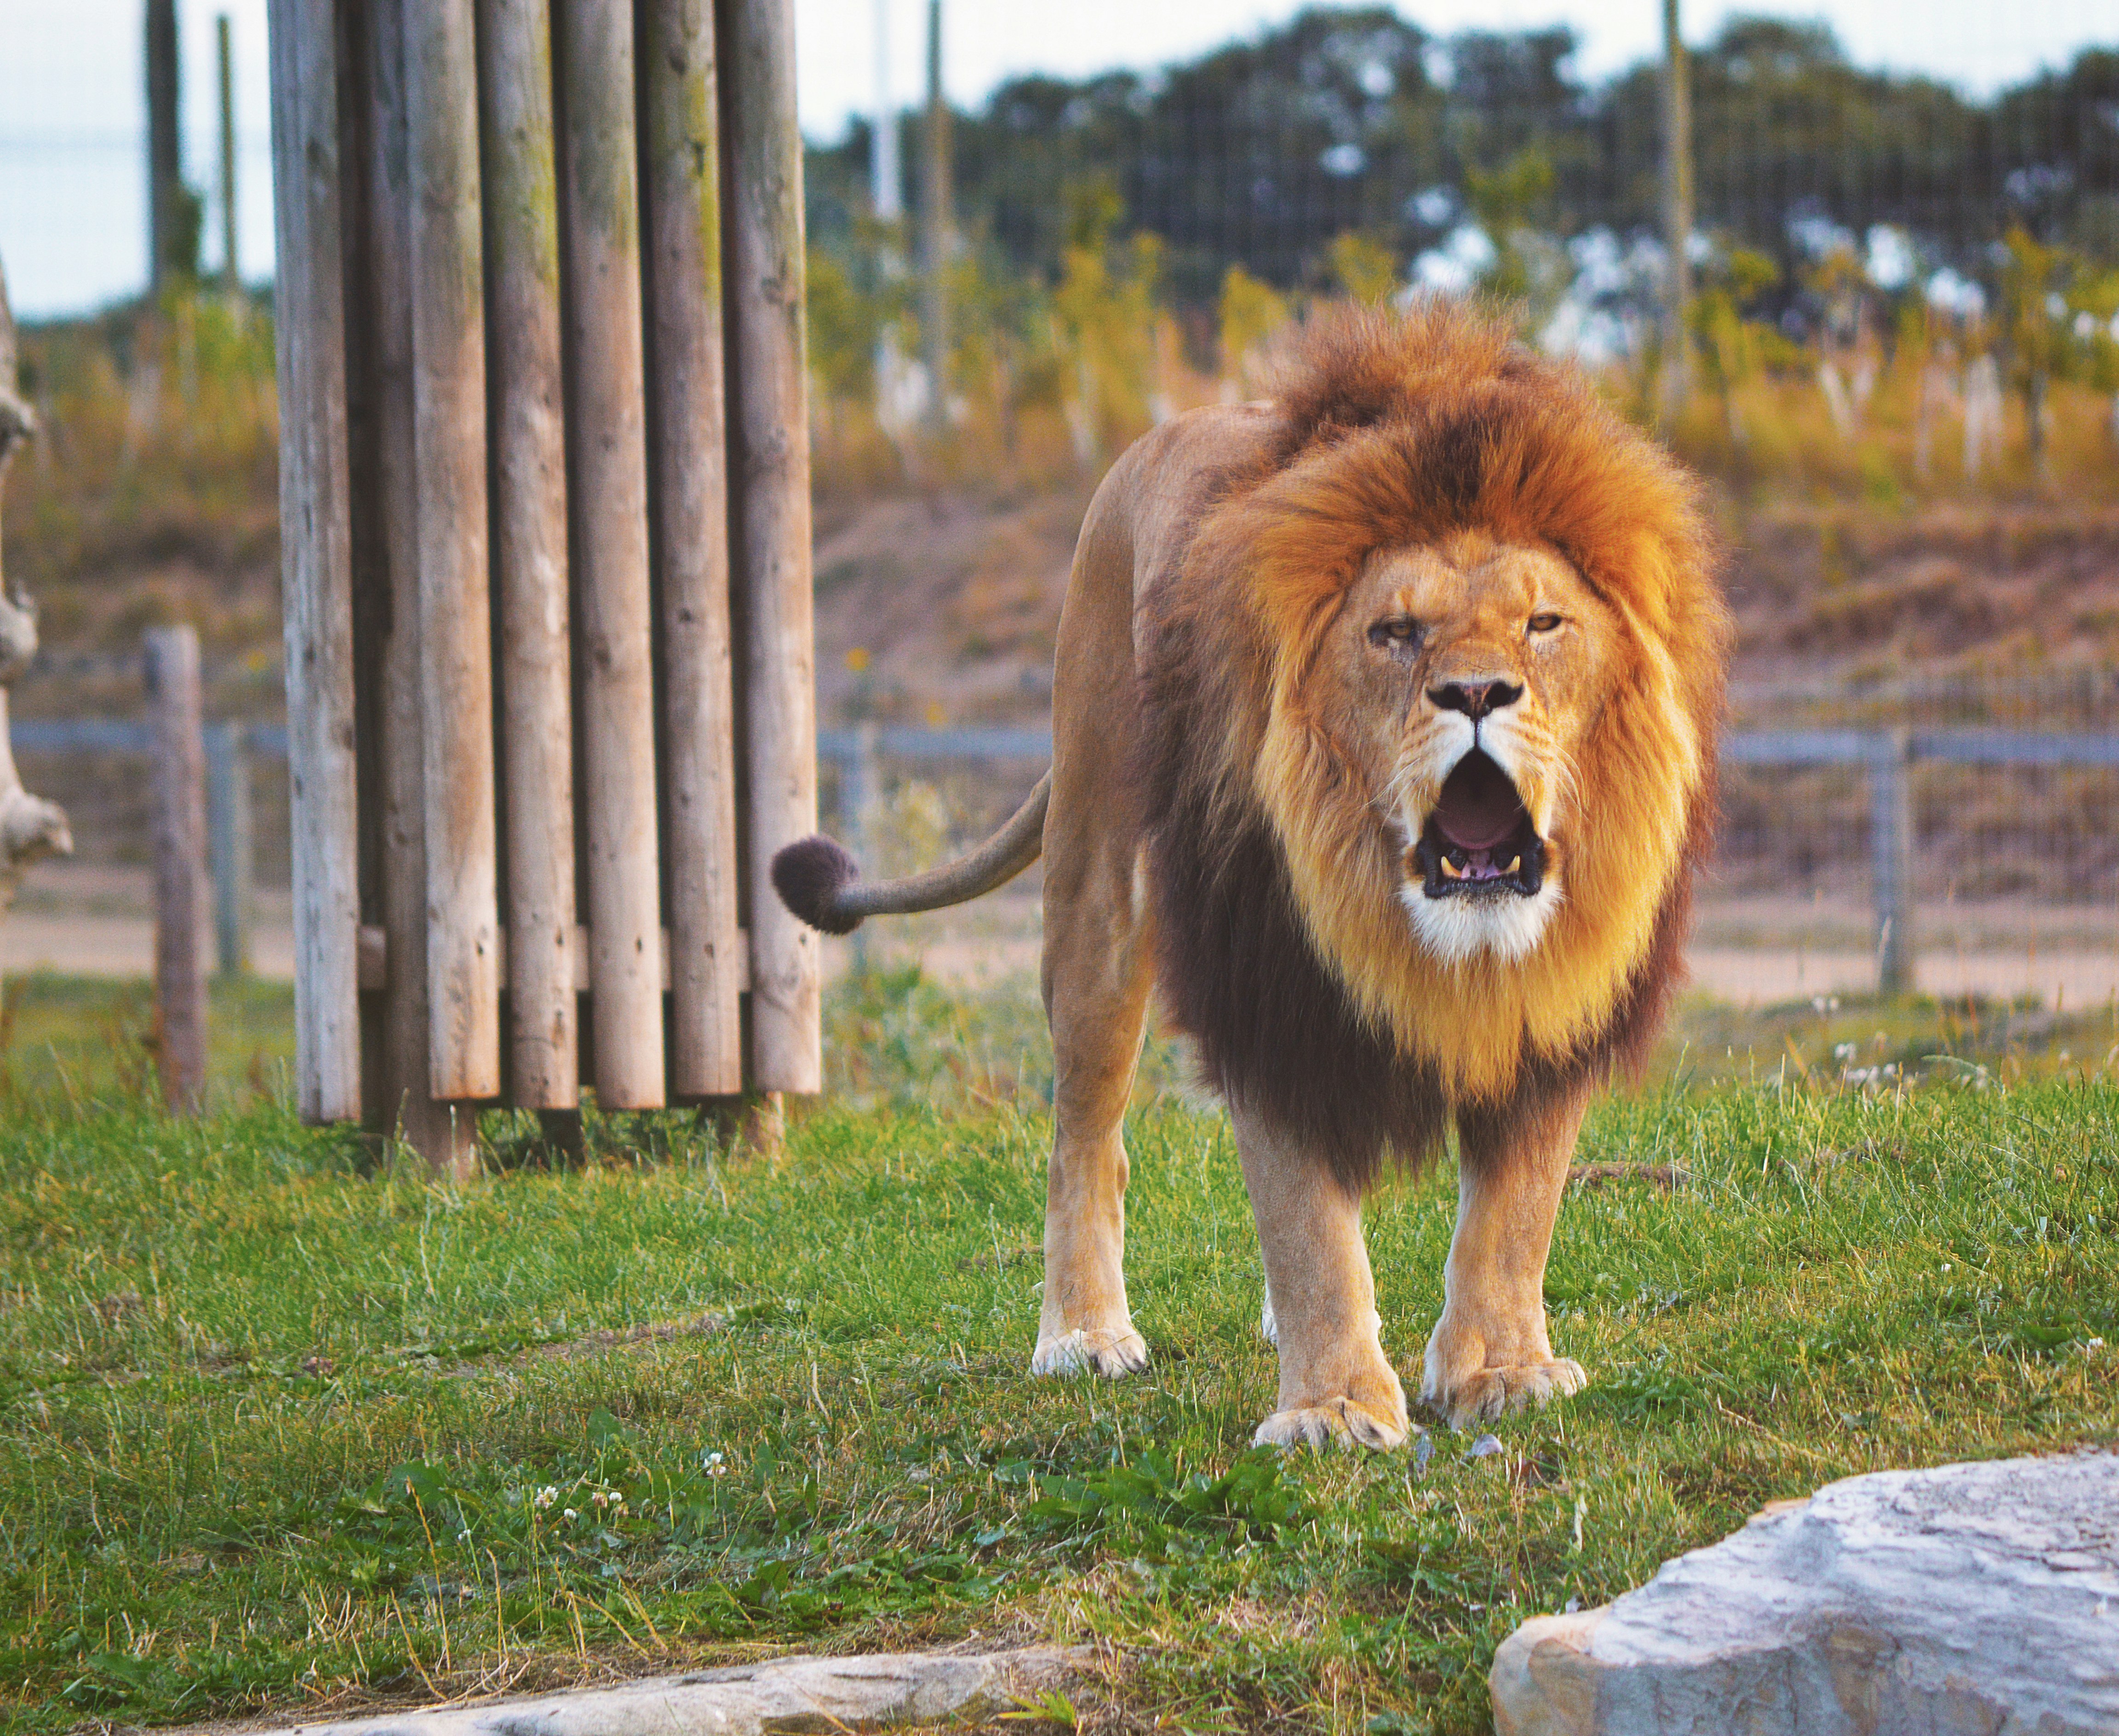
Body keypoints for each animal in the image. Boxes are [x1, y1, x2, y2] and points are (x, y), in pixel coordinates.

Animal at [775, 302, 1727, 1447]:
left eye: (1545, 624)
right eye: (1394, 632)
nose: (1477, 692)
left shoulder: (1560, 993)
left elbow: (1518, 1205)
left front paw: (1501, 1370)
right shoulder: (1265, 975)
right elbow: (1306, 1218)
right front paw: (1334, 1409)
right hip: (1097, 889)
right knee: (1085, 1136)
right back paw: (1082, 1333)